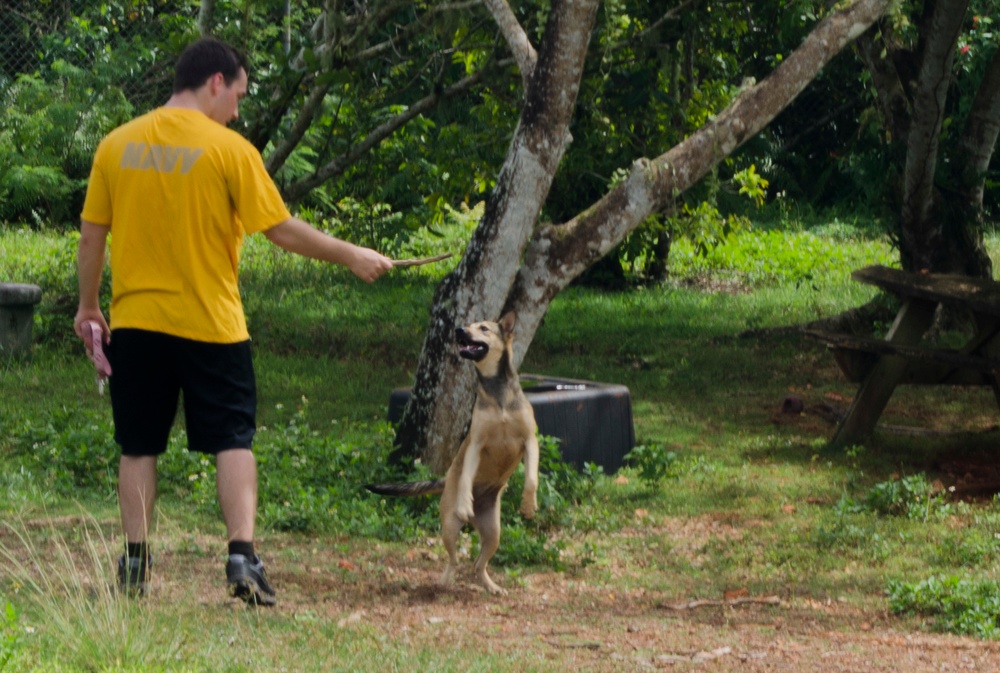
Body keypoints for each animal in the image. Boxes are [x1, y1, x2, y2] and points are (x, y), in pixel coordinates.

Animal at [368, 312, 540, 592]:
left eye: (484, 328)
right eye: (468, 325)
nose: (459, 330)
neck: (498, 394)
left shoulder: (530, 441)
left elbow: (532, 478)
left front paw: (528, 504)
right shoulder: (475, 445)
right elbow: (467, 477)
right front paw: (464, 501)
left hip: (493, 532)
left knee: (478, 564)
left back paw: (491, 586)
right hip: (449, 527)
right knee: (454, 559)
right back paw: (443, 581)